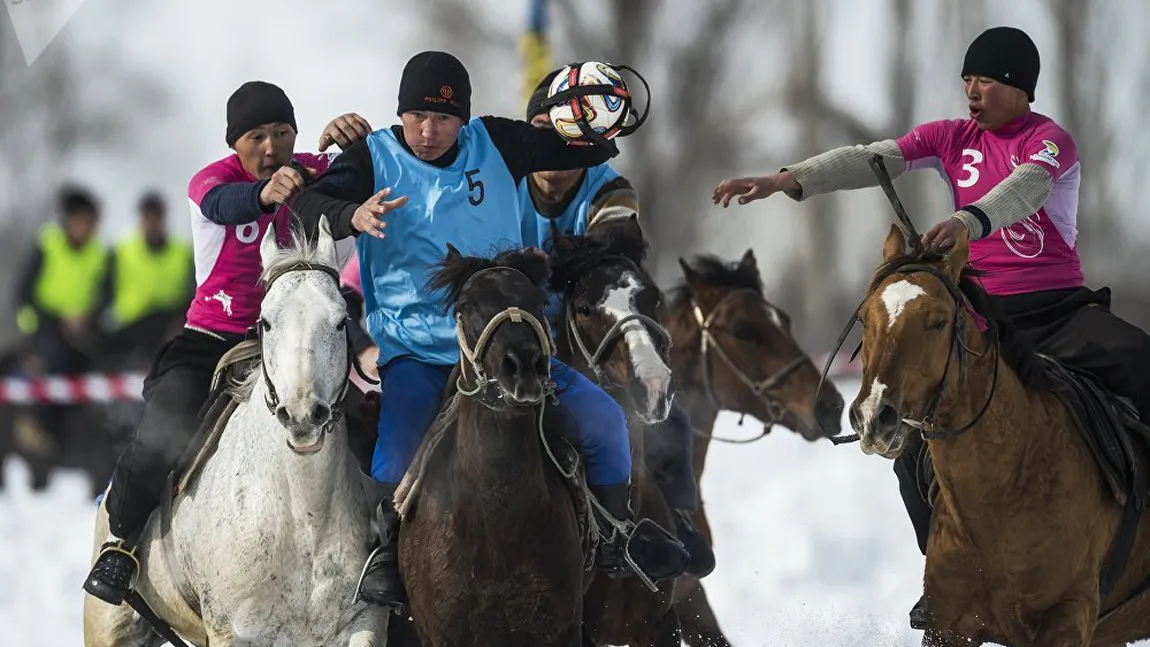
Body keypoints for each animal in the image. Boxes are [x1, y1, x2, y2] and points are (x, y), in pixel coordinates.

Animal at [83, 219, 386, 647]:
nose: (303, 414)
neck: (304, 518)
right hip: (110, 624)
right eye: (266, 322)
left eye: (341, 321)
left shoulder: (364, 620)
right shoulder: (233, 631)